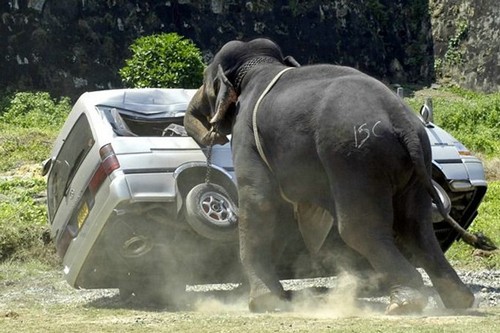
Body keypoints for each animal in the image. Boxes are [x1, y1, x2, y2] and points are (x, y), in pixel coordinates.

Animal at [182, 37, 474, 312]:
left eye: (206, 81)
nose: (211, 134)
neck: (261, 65)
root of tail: (403, 123)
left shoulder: (246, 136)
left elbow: (260, 202)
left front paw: (263, 303)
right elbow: (286, 211)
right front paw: (277, 297)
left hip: (354, 159)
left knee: (359, 228)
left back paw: (405, 303)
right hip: (415, 161)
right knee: (417, 225)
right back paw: (459, 299)